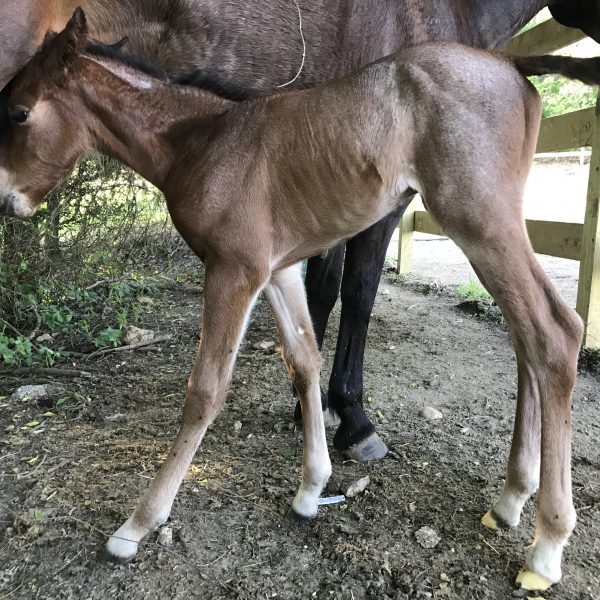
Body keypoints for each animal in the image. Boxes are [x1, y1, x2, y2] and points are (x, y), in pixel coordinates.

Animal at [0, 8, 596, 592]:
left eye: (19, 113)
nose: (7, 202)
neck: (203, 141)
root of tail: (511, 61)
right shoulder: (279, 271)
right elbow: (303, 360)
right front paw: (312, 488)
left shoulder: (234, 271)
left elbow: (206, 391)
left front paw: (137, 525)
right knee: (525, 340)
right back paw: (510, 499)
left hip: (479, 223)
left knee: (554, 333)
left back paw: (546, 547)